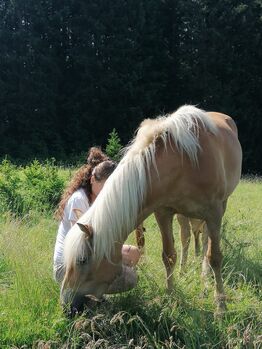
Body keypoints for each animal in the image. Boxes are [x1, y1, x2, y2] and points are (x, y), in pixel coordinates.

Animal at [62, 104, 242, 312]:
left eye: (82, 260)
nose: (67, 304)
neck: (184, 163)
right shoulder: (163, 213)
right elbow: (169, 256)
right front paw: (171, 298)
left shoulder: (214, 213)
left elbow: (215, 257)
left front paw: (220, 305)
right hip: (183, 215)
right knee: (186, 238)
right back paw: (184, 271)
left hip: (220, 207)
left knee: (205, 242)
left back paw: (205, 276)